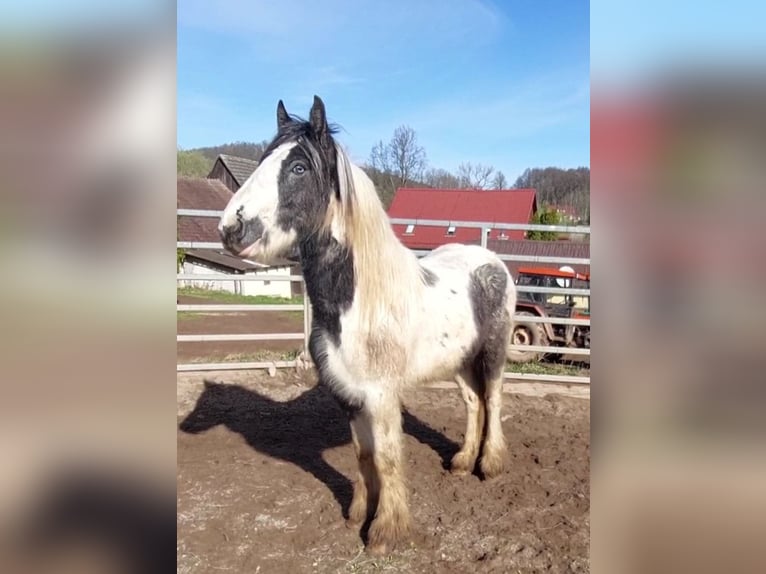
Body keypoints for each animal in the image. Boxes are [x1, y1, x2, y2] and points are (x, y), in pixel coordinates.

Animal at [219, 97, 520, 556]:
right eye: (261, 161)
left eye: (299, 167)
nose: (231, 228)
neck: (358, 302)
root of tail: (492, 262)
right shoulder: (348, 394)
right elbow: (363, 455)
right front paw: (360, 513)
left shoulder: (381, 395)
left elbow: (387, 456)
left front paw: (387, 531)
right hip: (459, 361)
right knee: (473, 402)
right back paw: (462, 462)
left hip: (493, 353)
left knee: (495, 400)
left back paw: (490, 465)